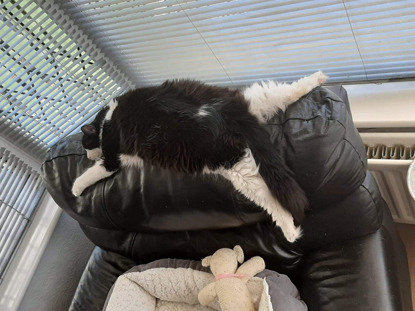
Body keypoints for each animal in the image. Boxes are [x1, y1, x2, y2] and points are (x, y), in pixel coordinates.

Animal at [73, 71, 330, 244]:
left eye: (85, 144)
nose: (85, 153)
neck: (107, 118)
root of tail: (225, 115)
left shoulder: (112, 157)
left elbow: (92, 172)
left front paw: (76, 189)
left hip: (236, 167)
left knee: (272, 201)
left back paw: (290, 231)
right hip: (253, 100)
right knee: (282, 92)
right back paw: (317, 78)